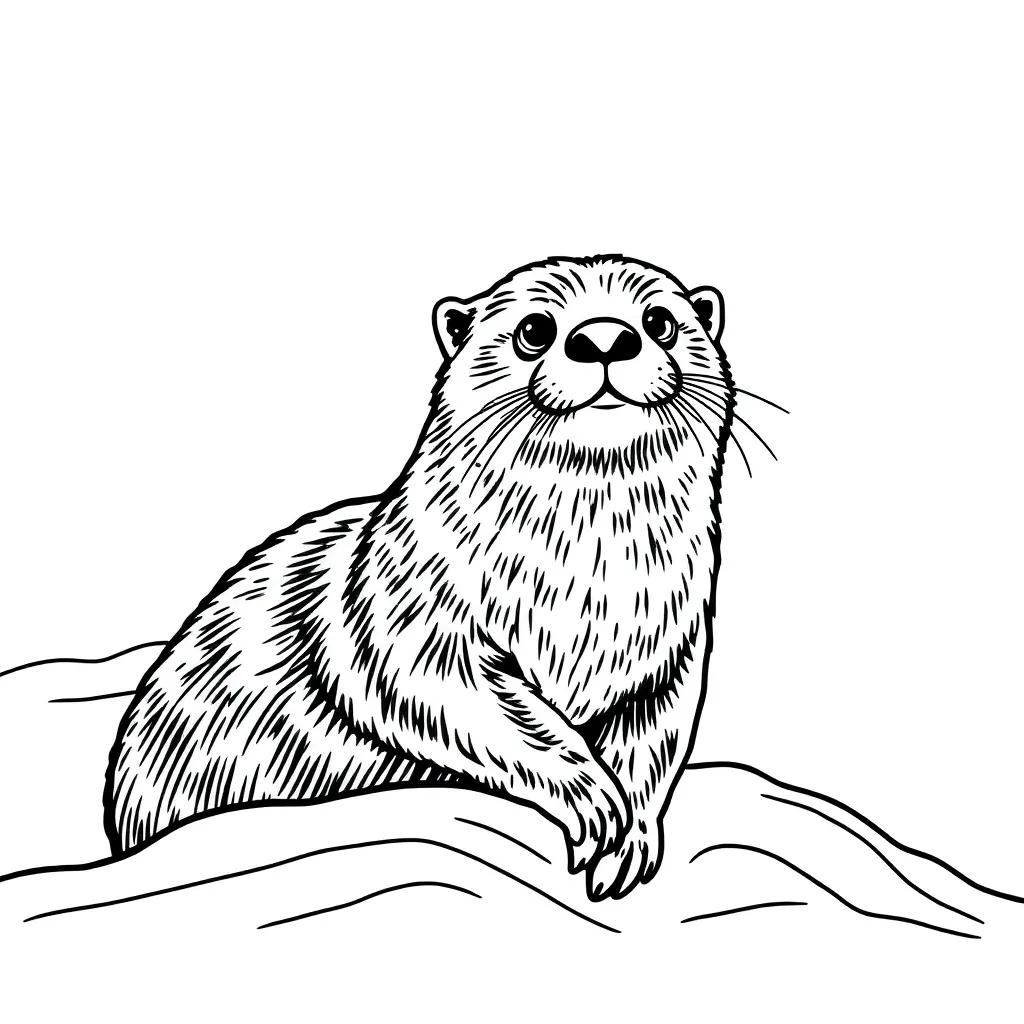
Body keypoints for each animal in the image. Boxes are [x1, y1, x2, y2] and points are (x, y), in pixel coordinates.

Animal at [104, 255, 734, 900]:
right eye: (535, 329)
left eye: (660, 321)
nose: (605, 339)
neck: (582, 595)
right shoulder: (406, 609)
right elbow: (453, 700)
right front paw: (593, 799)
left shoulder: (670, 649)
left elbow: (652, 741)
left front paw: (632, 839)